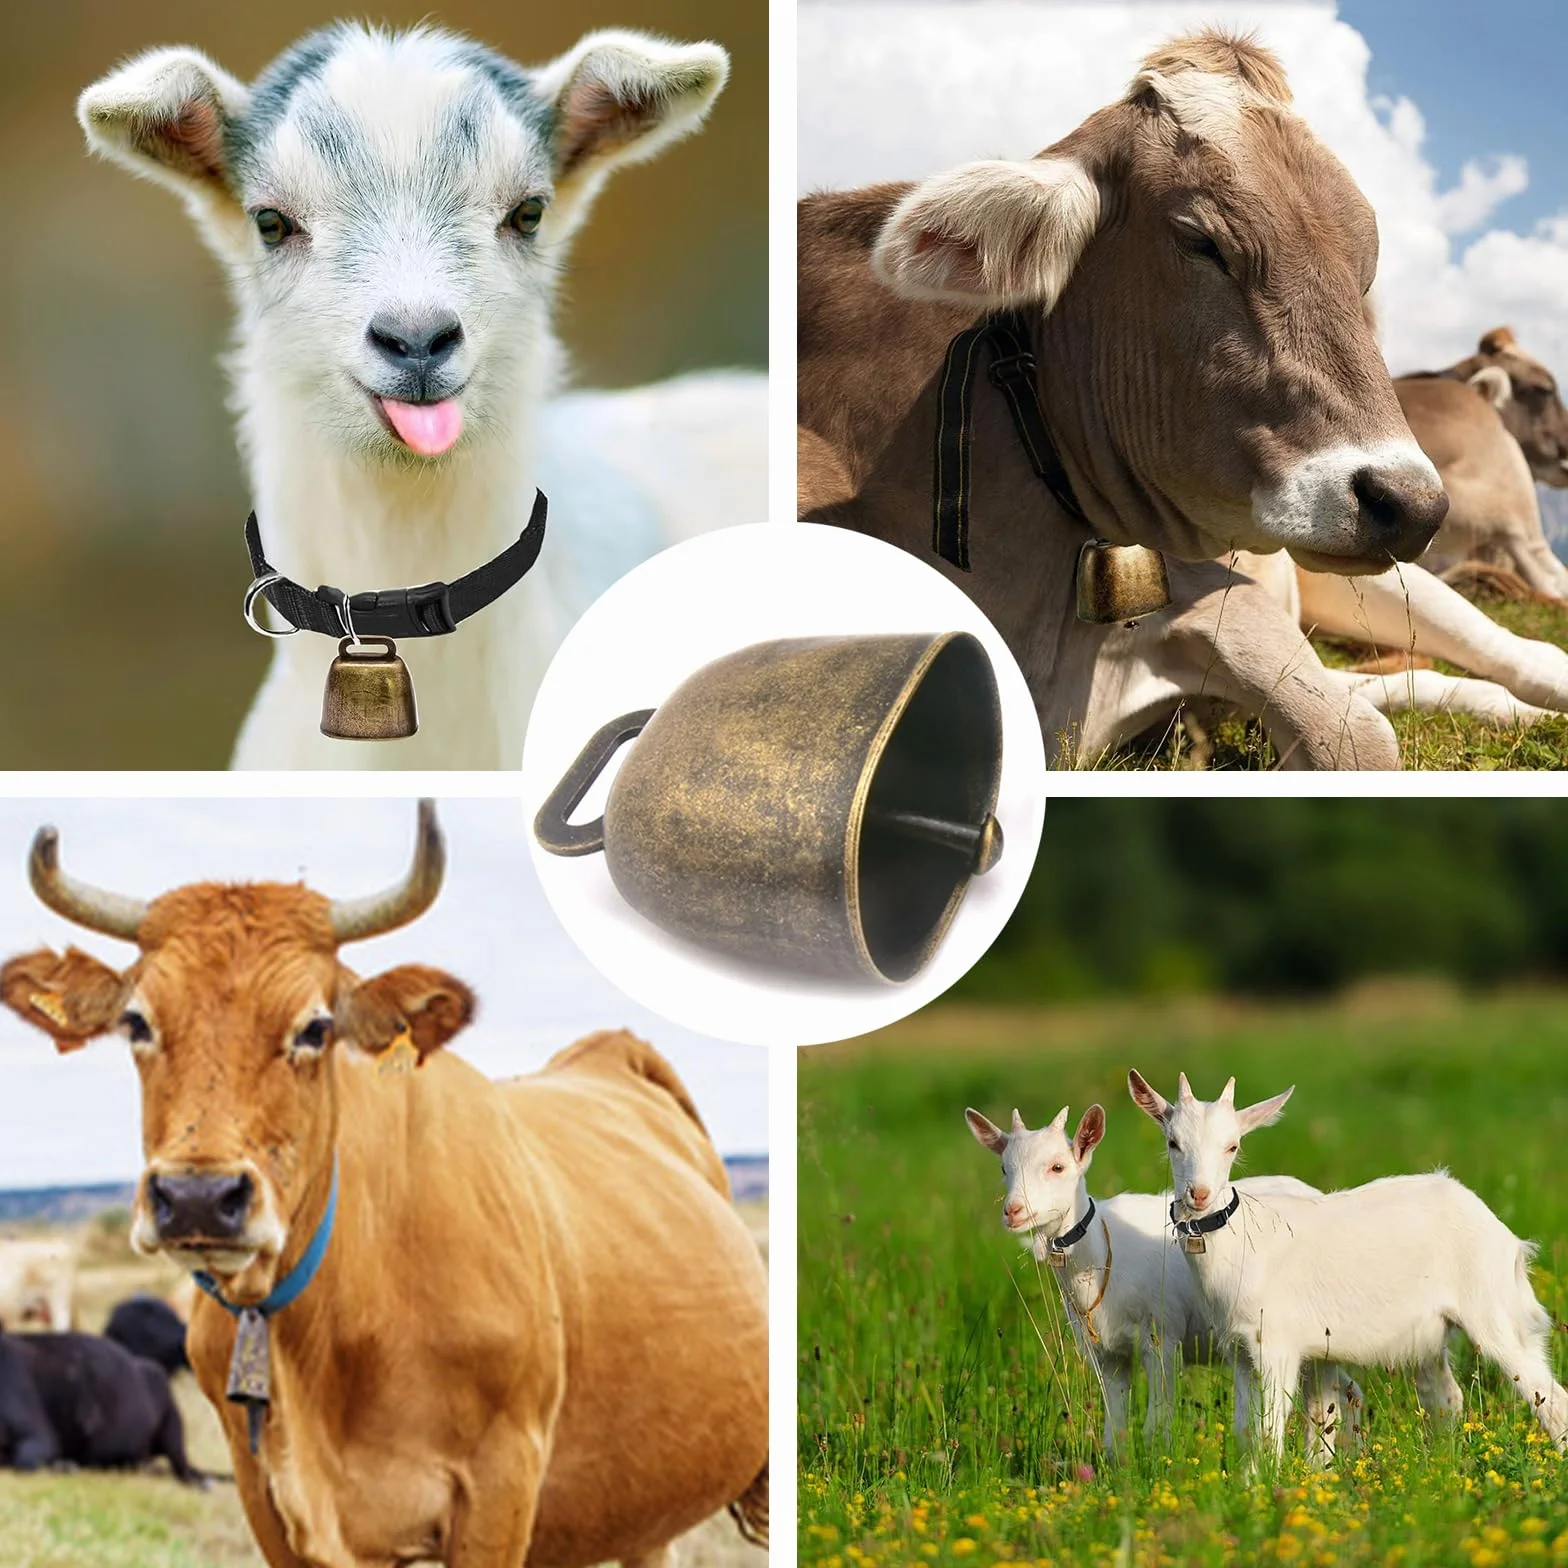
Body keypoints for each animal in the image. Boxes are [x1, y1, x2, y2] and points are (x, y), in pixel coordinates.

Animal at [966, 1104, 1362, 1462]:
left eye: (1057, 1167)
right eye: (1003, 1168)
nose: (1013, 1211)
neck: (1100, 1255)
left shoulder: (1162, 1337)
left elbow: (1156, 1423)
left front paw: (1161, 1468)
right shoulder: (1106, 1353)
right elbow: (1114, 1431)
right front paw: (1120, 1474)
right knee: (1347, 1390)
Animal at [1127, 1070, 1568, 1459]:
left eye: (1232, 1146)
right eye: (1173, 1142)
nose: (1199, 1194)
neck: (1240, 1243)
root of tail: (1505, 1236)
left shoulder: (1275, 1346)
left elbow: (1269, 1431)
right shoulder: (1238, 1350)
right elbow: (1245, 1430)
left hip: (1494, 1311)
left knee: (1549, 1397)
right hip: (1428, 1335)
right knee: (1447, 1399)